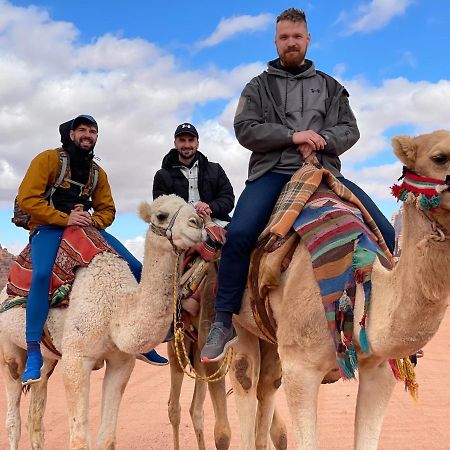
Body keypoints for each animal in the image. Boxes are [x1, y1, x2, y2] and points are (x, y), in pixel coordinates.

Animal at [0, 195, 204, 450]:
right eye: (161, 215)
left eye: (193, 208)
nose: (198, 224)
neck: (113, 309)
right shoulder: (76, 360)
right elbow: (79, 440)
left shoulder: (121, 362)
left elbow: (106, 438)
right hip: (9, 349)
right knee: (13, 419)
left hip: (47, 360)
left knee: (35, 417)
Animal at [229, 128, 450, 448]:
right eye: (439, 157)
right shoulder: (301, 367)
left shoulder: (380, 367)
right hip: (239, 321)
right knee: (244, 377)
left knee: (267, 383)